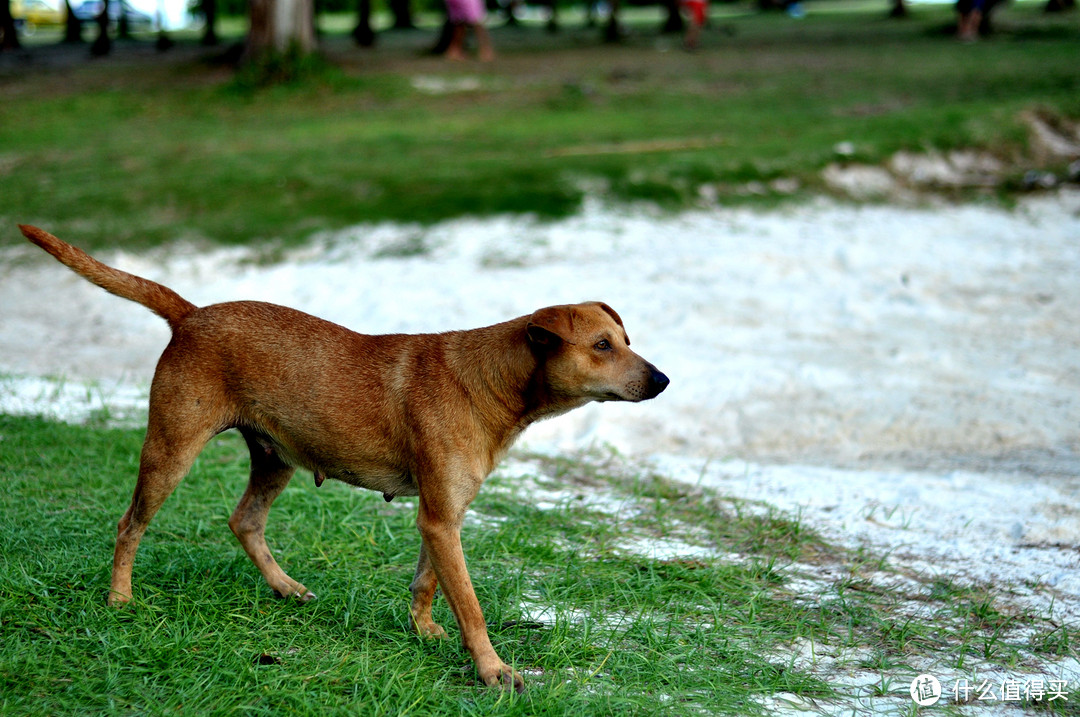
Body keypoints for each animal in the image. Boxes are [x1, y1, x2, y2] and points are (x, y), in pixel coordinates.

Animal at [21, 225, 669, 695]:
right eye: (602, 346)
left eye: (625, 340)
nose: (663, 380)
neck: (494, 381)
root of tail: (190, 313)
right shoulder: (441, 517)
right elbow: (472, 606)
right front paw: (491, 671)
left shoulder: (443, 516)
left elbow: (428, 583)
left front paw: (425, 632)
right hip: (171, 449)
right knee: (130, 524)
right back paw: (120, 599)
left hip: (274, 457)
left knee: (243, 521)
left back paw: (285, 588)